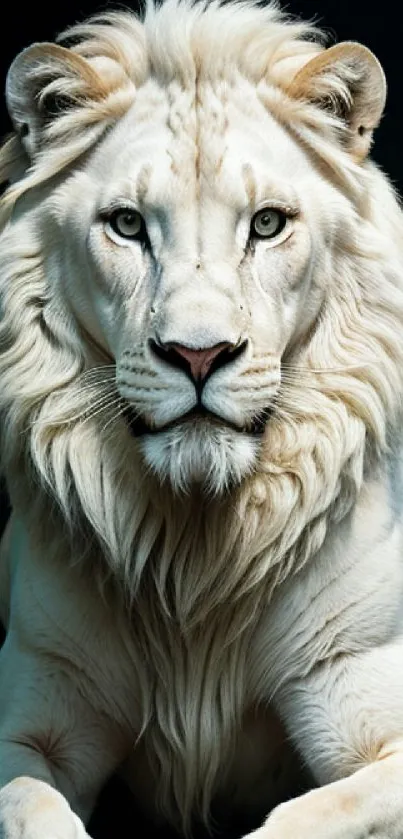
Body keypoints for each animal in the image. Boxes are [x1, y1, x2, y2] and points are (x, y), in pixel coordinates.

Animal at [0, 0, 403, 836]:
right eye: (126, 225)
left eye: (266, 225)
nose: (197, 353)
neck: (195, 557)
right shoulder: (33, 726)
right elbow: (35, 806)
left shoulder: (374, 721)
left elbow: (306, 818)